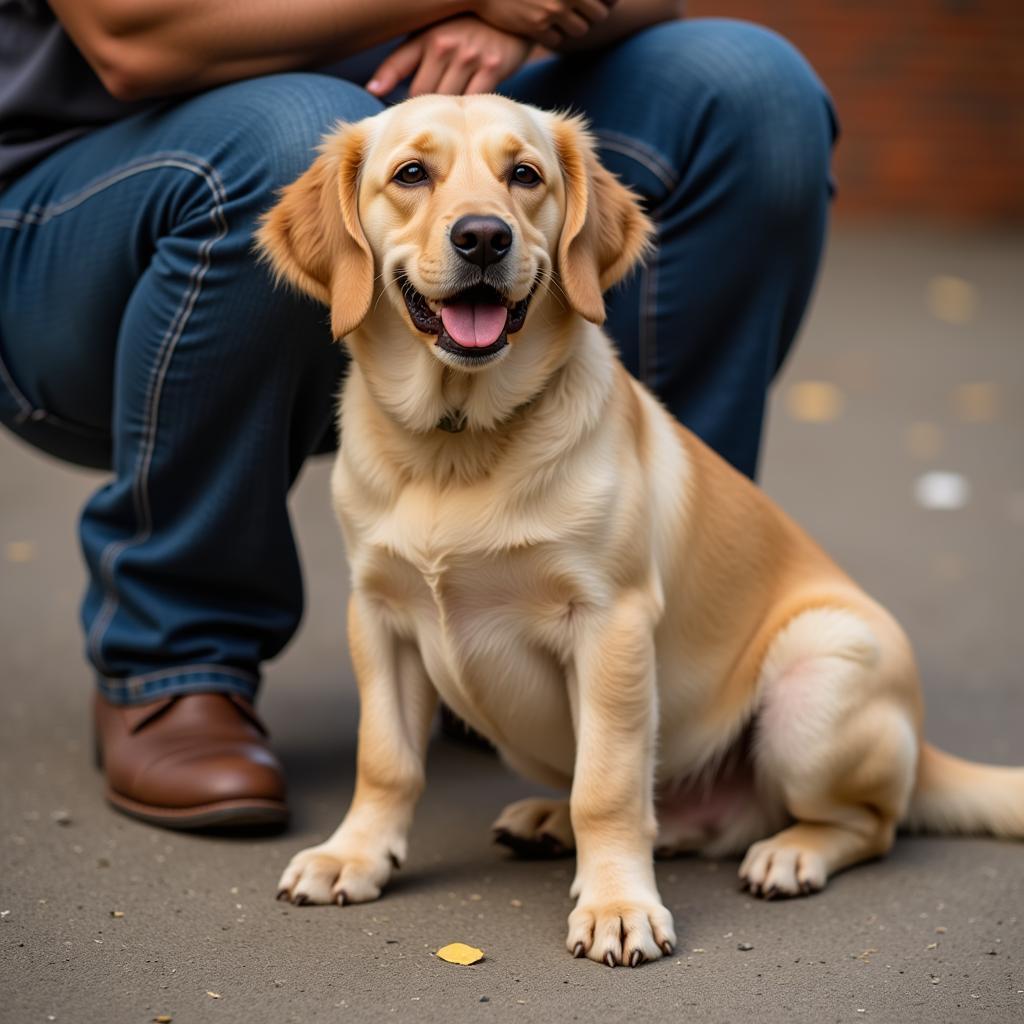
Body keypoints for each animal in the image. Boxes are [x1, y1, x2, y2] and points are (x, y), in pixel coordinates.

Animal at [256, 96, 1024, 966]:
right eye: (412, 174)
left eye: (526, 175)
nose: (484, 237)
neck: (458, 441)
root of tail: (921, 746)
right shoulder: (378, 615)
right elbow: (385, 758)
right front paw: (354, 854)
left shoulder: (611, 621)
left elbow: (609, 784)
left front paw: (618, 904)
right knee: (683, 821)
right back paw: (550, 822)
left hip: (819, 673)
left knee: (866, 823)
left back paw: (791, 853)